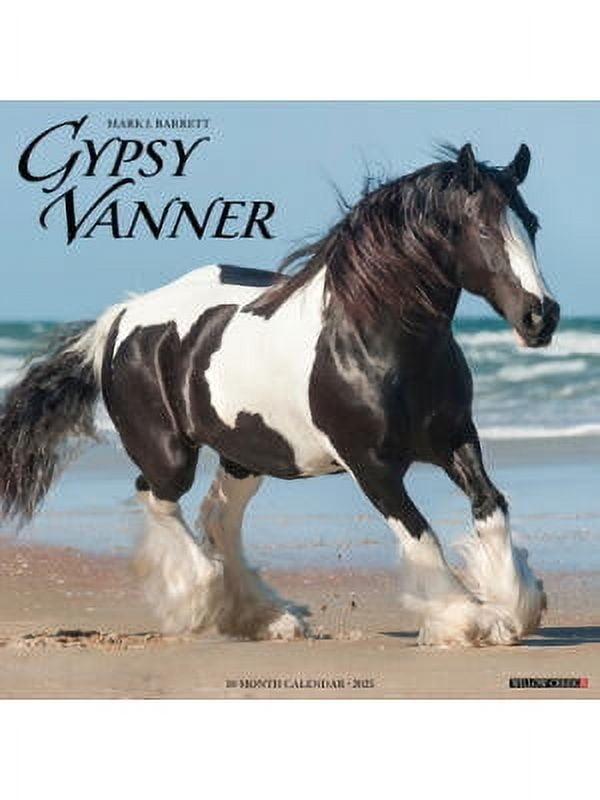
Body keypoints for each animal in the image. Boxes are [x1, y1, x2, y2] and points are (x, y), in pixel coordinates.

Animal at [0, 143, 560, 646]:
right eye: (482, 228)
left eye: (531, 223)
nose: (541, 316)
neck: (376, 344)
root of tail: (123, 317)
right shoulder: (371, 465)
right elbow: (419, 534)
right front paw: (468, 620)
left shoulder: (455, 439)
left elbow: (490, 505)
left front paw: (517, 607)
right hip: (170, 454)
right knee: (156, 497)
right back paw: (198, 602)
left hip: (247, 453)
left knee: (218, 517)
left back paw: (264, 618)